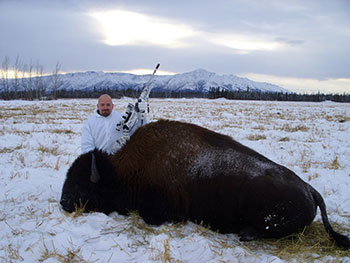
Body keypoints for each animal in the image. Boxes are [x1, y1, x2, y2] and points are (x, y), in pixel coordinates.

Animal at [60, 119, 350, 250]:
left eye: (83, 187)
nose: (63, 203)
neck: (127, 172)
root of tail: (310, 189)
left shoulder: (159, 211)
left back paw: (245, 233)